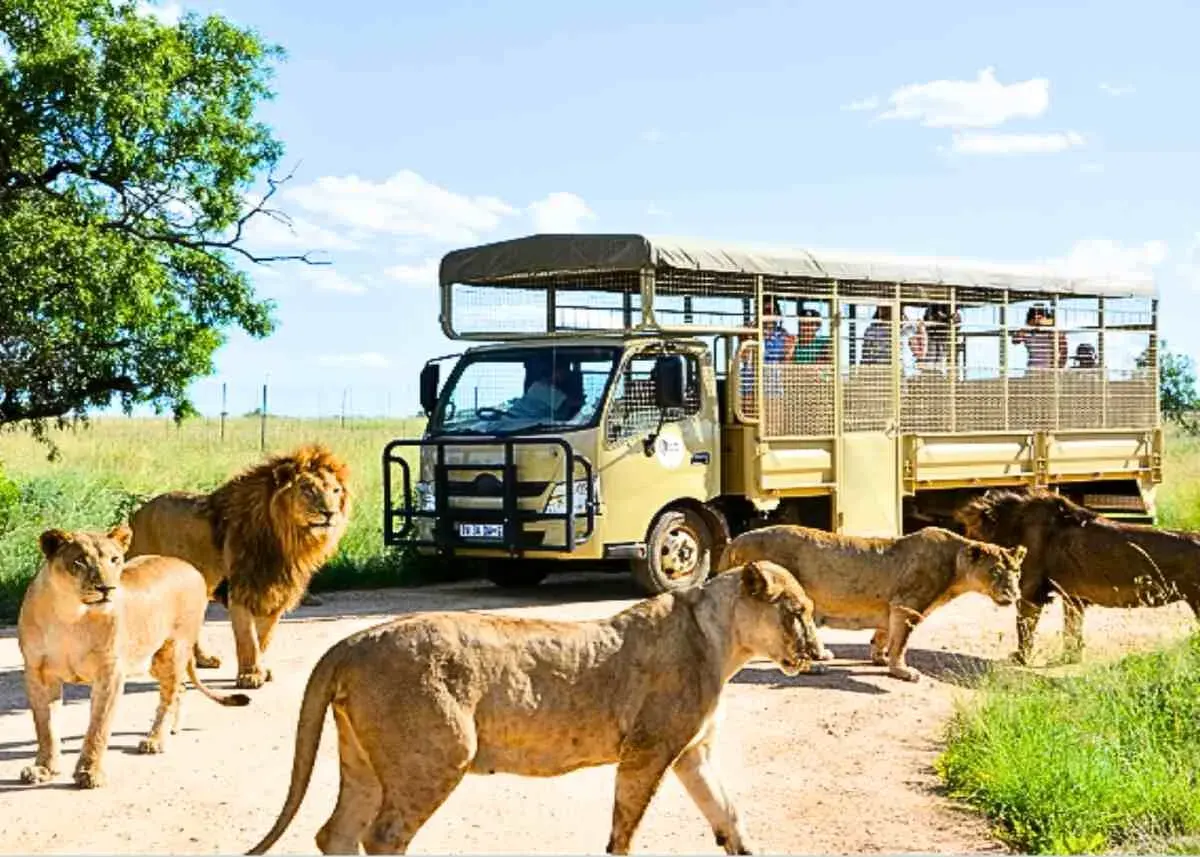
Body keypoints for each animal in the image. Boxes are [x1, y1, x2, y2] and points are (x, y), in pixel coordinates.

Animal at [16, 524, 251, 789]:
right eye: (79, 561)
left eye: (115, 559)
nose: (106, 588)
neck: (70, 614)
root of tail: (189, 566)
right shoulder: (38, 673)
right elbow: (45, 727)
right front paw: (43, 769)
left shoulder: (110, 673)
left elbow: (98, 727)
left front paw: (90, 773)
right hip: (152, 661)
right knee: (179, 689)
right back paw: (173, 729)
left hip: (172, 652)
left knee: (169, 696)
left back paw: (155, 740)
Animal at [127, 443, 351, 689]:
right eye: (307, 489)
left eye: (336, 491)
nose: (330, 513)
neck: (287, 541)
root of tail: (137, 513)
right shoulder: (241, 589)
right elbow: (248, 638)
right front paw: (250, 676)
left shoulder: (276, 593)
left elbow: (264, 638)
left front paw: (261, 671)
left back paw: (203, 660)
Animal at [244, 560, 823, 856]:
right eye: (797, 612)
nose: (820, 653)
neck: (722, 641)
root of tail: (350, 642)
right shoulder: (648, 750)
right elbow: (624, 830)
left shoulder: (691, 753)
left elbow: (728, 815)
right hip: (436, 757)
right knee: (381, 837)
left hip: (363, 761)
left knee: (336, 833)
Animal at [717, 524, 1025, 682]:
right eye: (996, 571)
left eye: (1016, 572)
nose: (1013, 595)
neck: (956, 565)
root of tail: (734, 542)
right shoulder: (907, 605)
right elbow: (901, 643)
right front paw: (902, 671)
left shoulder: (892, 607)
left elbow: (884, 635)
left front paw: (879, 658)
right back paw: (815, 666)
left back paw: (823, 655)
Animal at [955, 487, 1200, 665]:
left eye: (970, 532)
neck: (1013, 525)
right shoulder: (1073, 597)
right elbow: (1072, 630)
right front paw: (1069, 658)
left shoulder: (1030, 593)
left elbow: (1024, 627)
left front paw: (1021, 659)